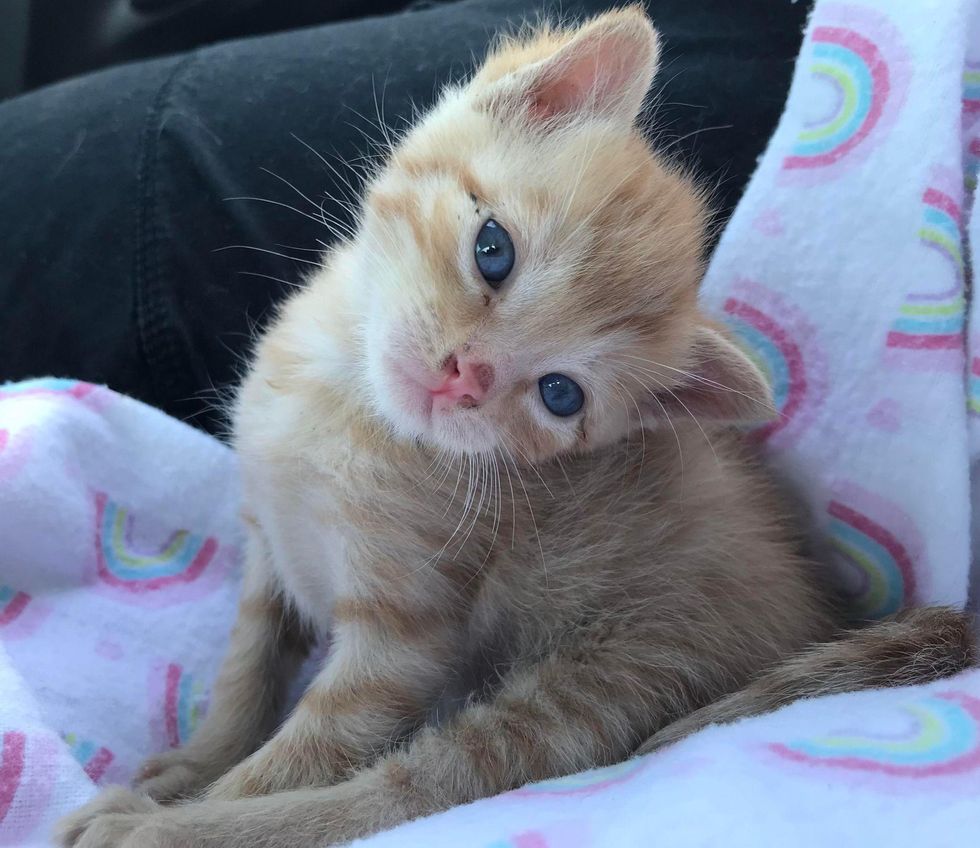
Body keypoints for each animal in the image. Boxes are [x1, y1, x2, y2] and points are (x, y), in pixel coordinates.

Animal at [59, 6, 972, 848]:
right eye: (492, 248)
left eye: (559, 394)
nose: (465, 376)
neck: (341, 402)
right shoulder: (266, 552)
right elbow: (246, 673)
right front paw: (191, 761)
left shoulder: (405, 641)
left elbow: (308, 751)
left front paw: (180, 810)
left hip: (609, 675)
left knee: (416, 790)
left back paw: (168, 832)